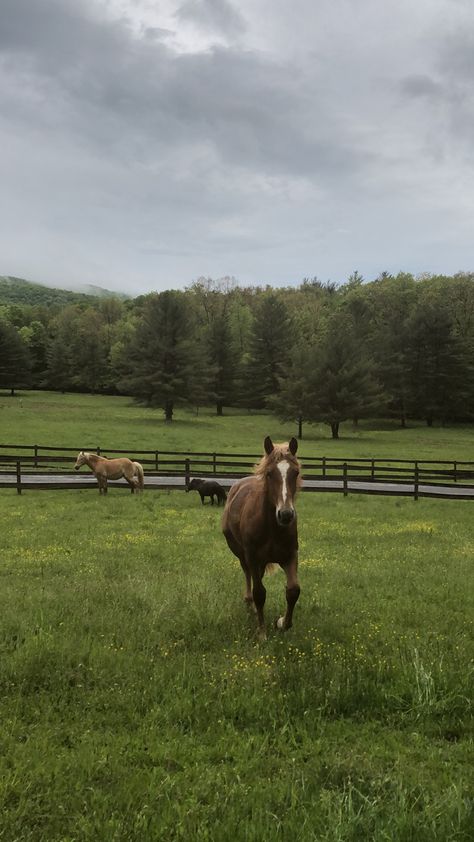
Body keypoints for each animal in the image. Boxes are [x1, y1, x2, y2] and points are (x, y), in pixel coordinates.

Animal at [221, 436, 300, 640]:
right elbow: (259, 593)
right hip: (243, 556)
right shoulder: (253, 557)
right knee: (249, 576)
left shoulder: (290, 556)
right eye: (270, 473)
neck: (272, 528)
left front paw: (282, 623)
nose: (286, 515)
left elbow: (293, 590)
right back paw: (250, 605)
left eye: (295, 472)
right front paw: (262, 632)